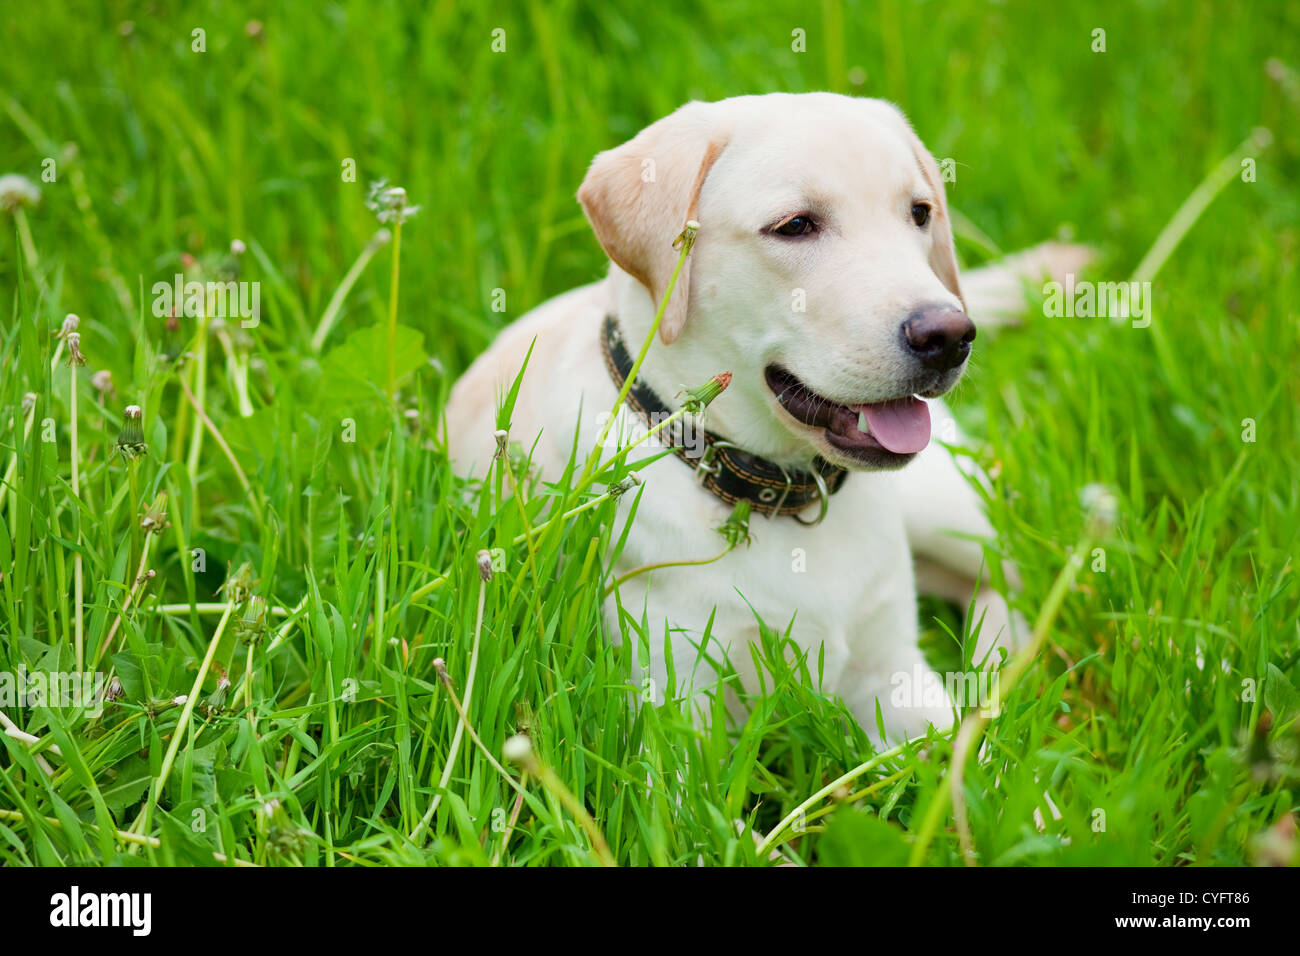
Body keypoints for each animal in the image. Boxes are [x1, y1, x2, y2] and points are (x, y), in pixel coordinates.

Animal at [447, 93, 1086, 743]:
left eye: (919, 213)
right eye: (795, 226)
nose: (950, 334)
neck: (775, 488)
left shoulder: (895, 674)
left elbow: (969, 762)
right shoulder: (675, 702)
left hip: (944, 506)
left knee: (1011, 575)